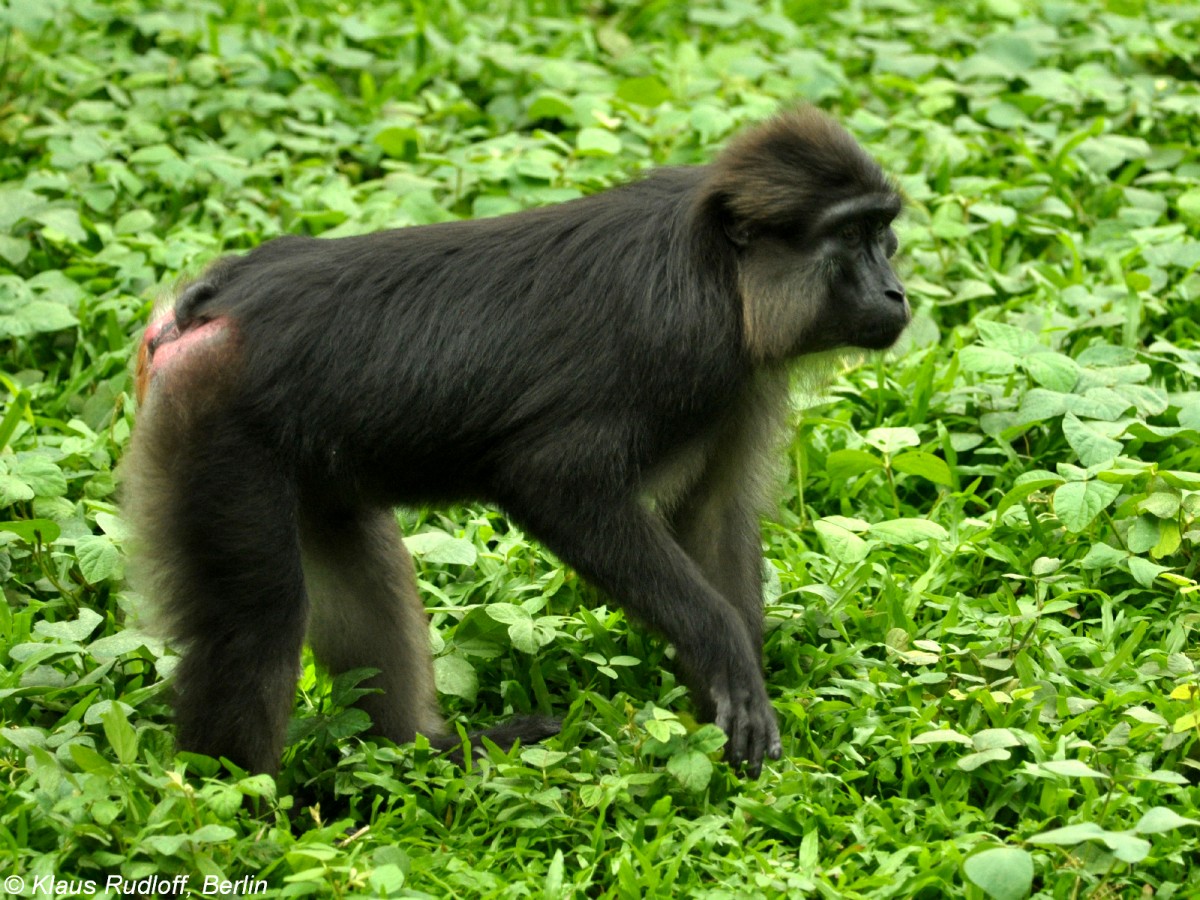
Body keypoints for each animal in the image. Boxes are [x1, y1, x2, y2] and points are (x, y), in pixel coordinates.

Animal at [124, 109, 907, 777]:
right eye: (851, 238)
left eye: (883, 233)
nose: (897, 293)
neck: (722, 268)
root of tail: (205, 311)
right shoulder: (685, 342)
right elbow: (551, 481)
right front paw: (724, 654)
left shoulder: (739, 377)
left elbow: (712, 518)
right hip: (219, 428)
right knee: (257, 623)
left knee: (355, 554)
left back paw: (419, 752)